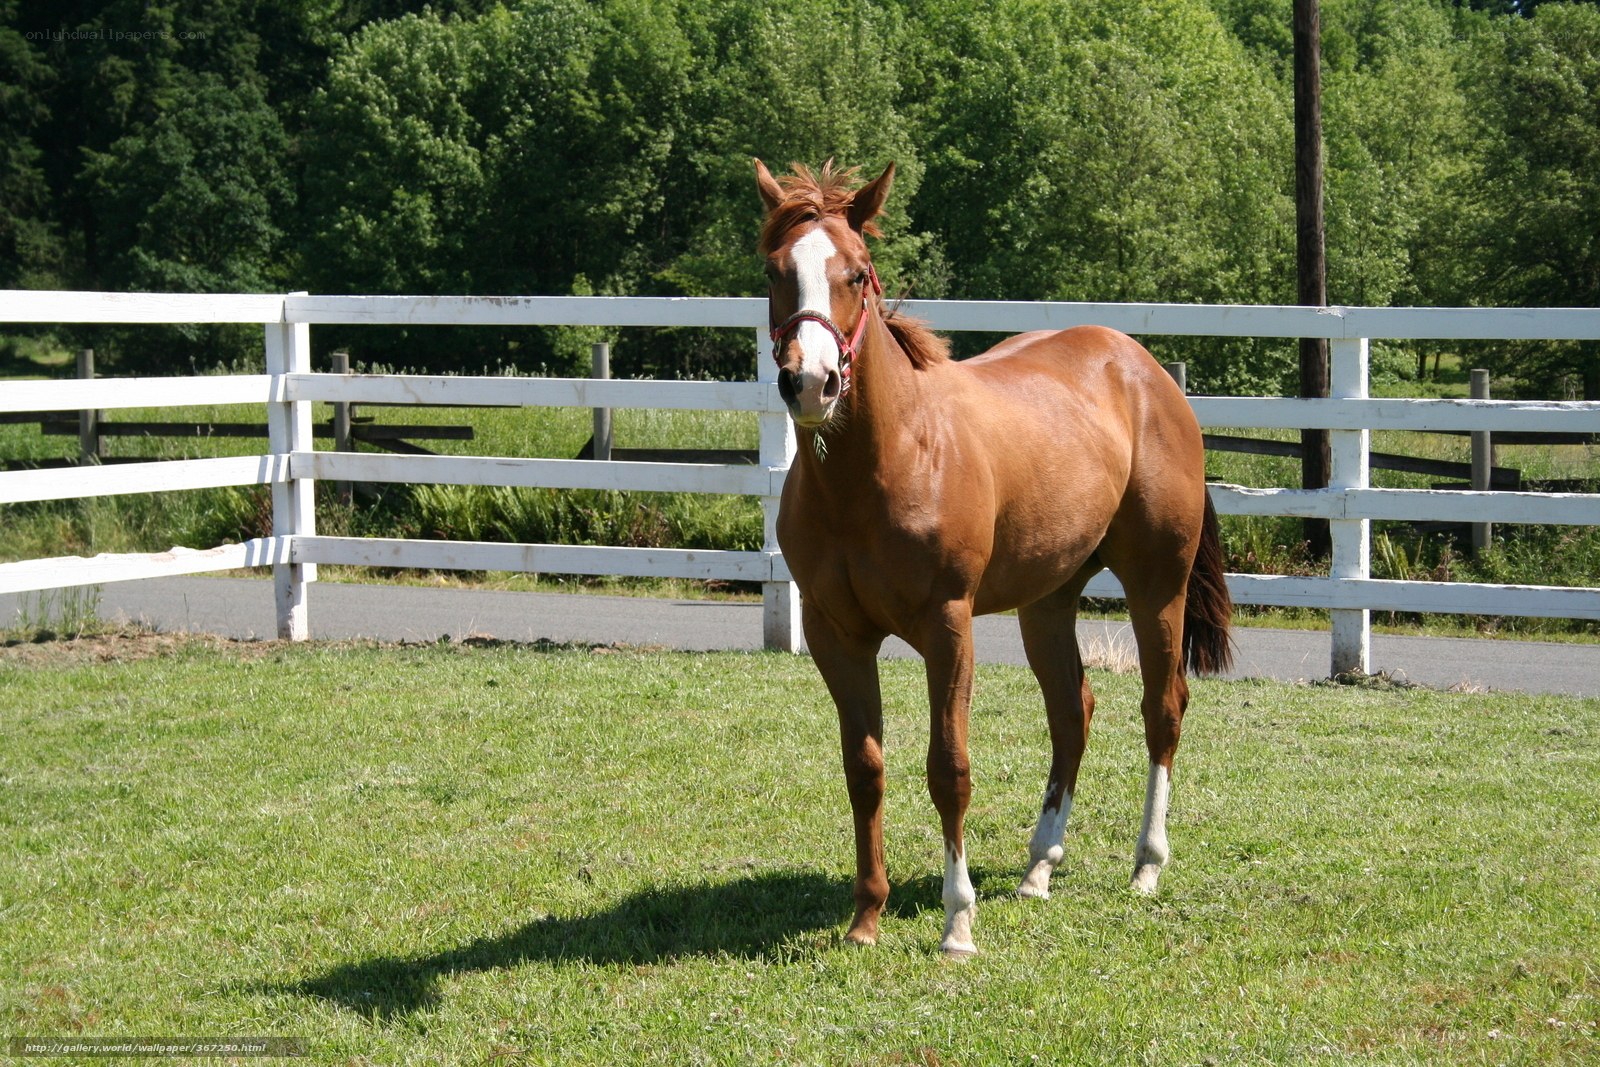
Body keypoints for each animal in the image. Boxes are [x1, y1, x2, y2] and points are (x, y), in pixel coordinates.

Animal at [755, 158, 1233, 956]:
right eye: (775, 271)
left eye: (857, 272)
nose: (811, 382)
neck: (884, 463)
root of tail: (1146, 370)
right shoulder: (835, 634)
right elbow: (865, 768)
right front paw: (865, 917)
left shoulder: (949, 627)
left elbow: (948, 769)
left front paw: (958, 922)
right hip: (1048, 601)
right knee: (1072, 712)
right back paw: (1040, 865)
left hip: (1156, 586)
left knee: (1162, 708)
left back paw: (1146, 864)